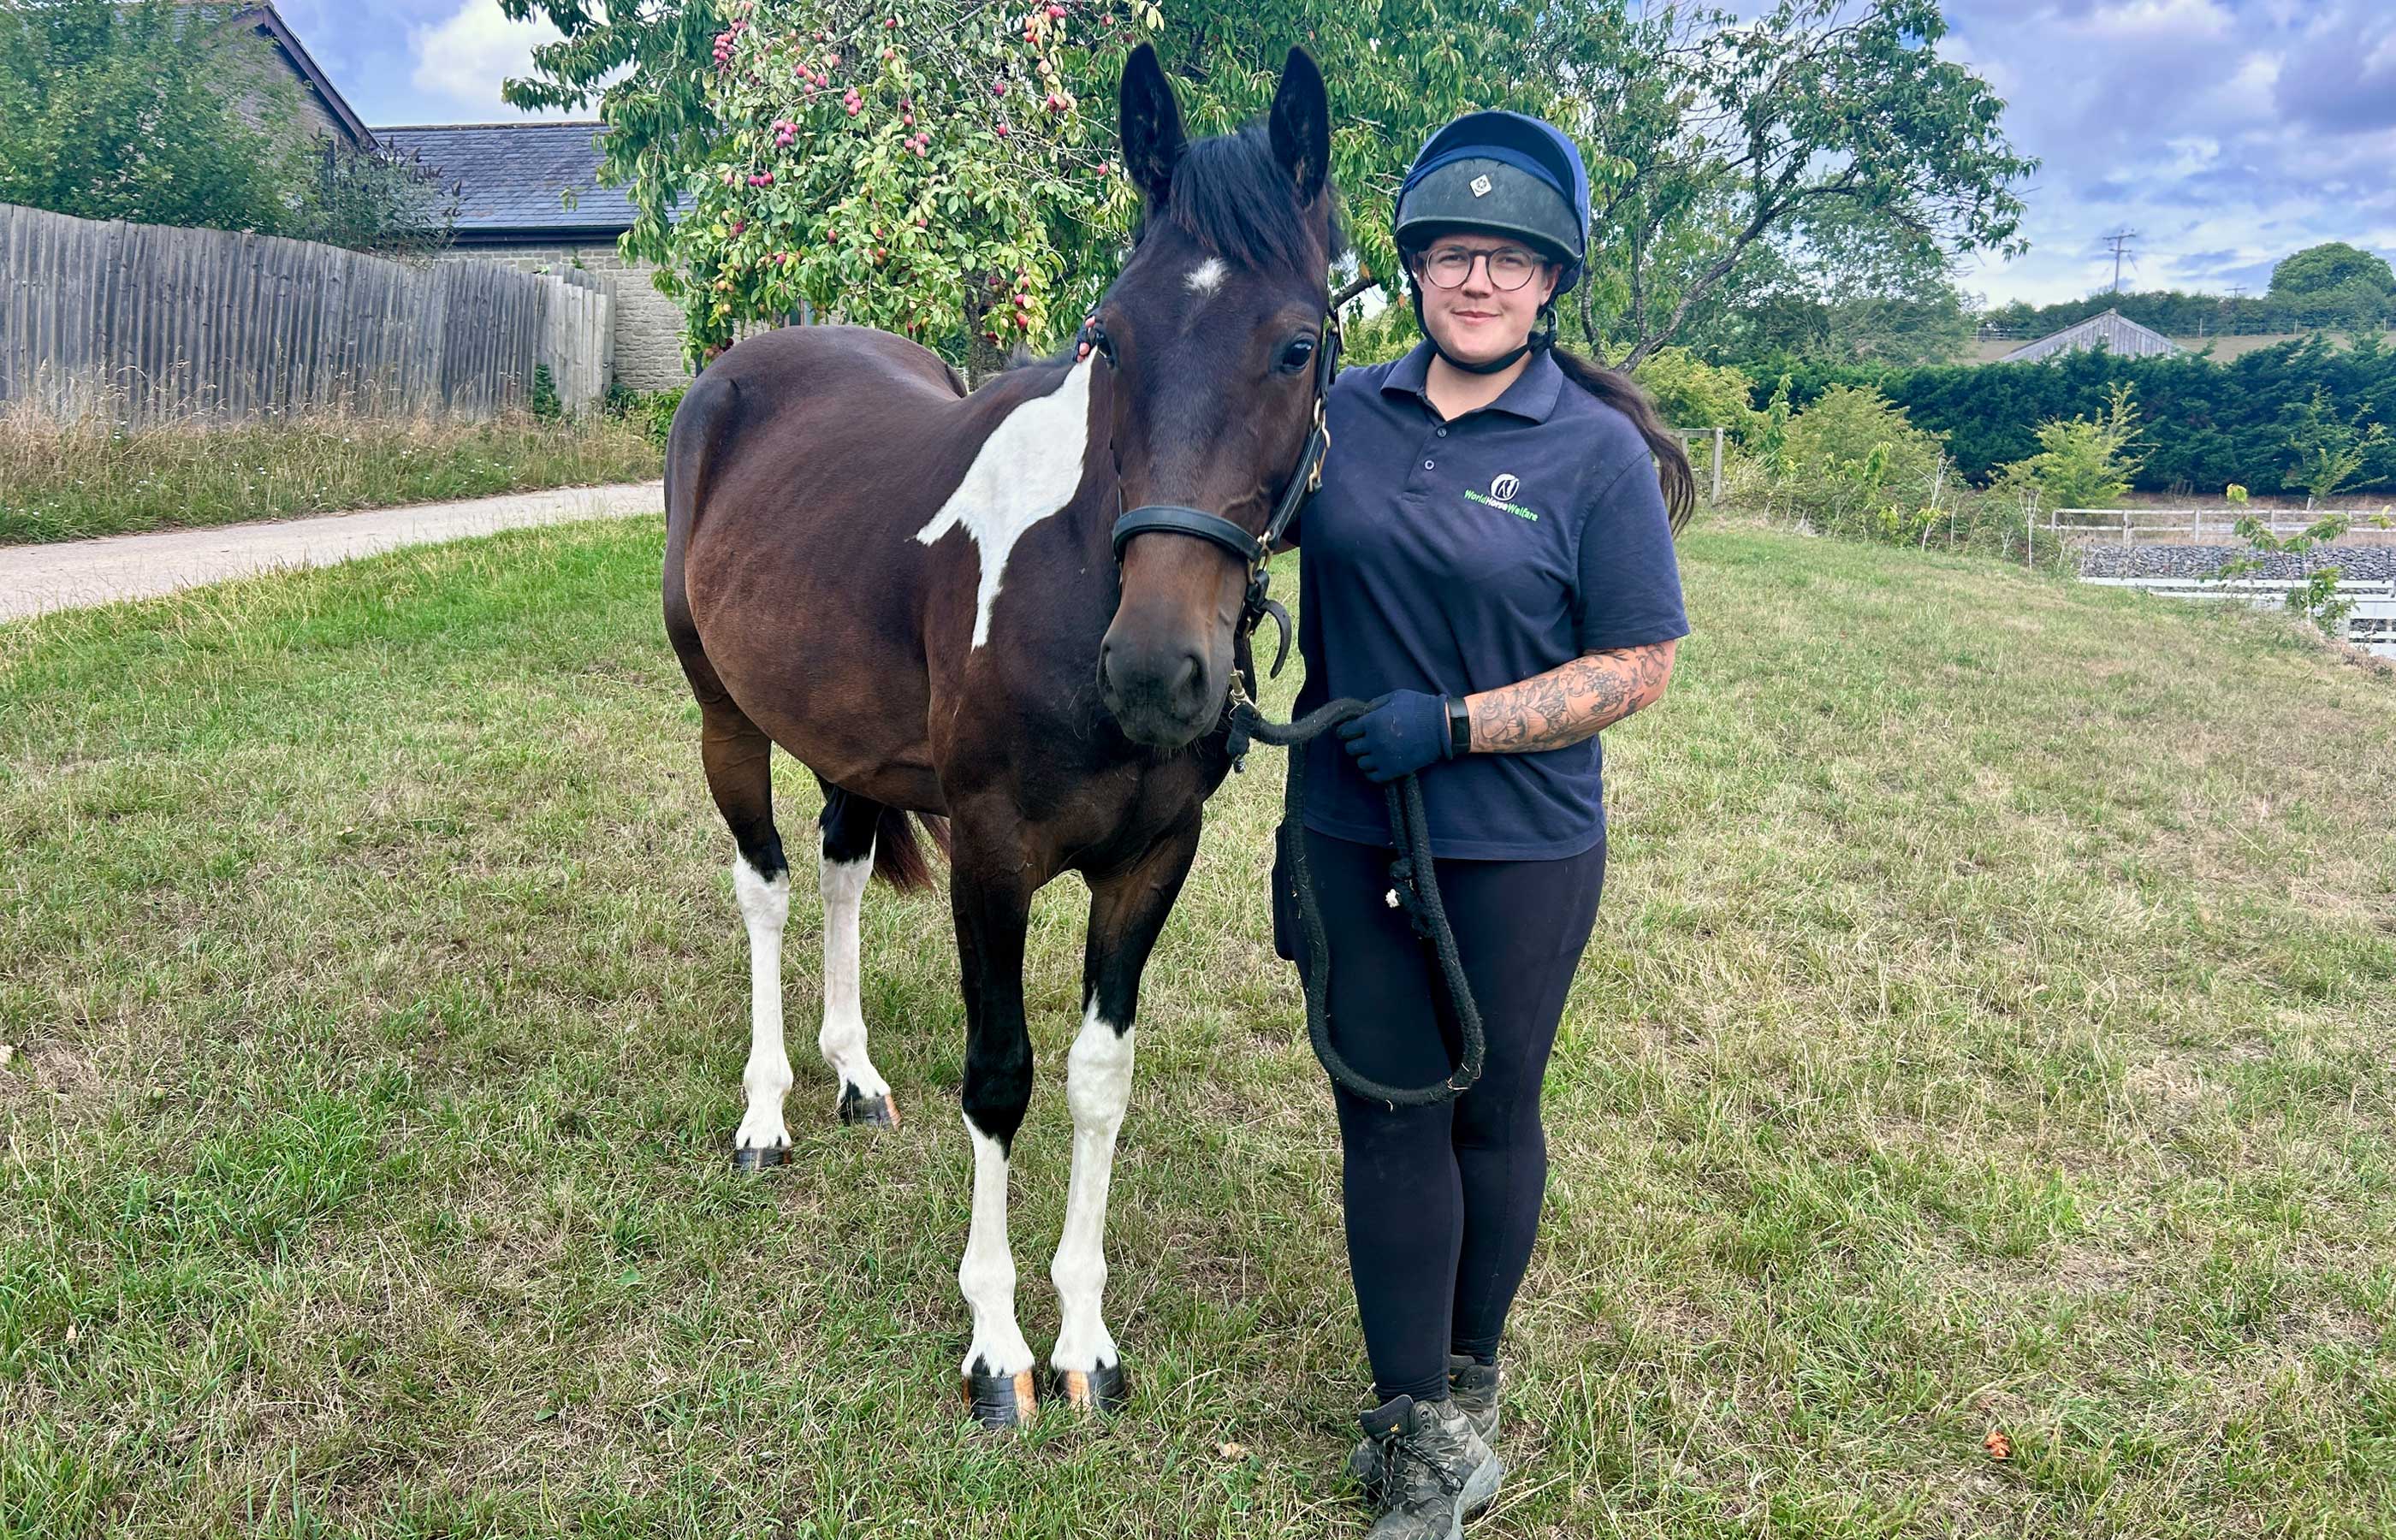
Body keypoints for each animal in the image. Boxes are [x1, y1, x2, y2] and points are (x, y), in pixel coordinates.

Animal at [660, 44, 1340, 1427]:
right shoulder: (990, 854)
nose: (1155, 672)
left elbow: (1094, 1079)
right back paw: (767, 1113)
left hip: (851, 748)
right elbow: (1000, 1077)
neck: (1076, 574)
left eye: (1298, 345)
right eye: (1110, 340)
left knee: (839, 870)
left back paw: (854, 1076)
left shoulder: (1151, 861)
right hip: (726, 720)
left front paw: (1084, 1337)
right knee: (766, 887)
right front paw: (995, 1347)